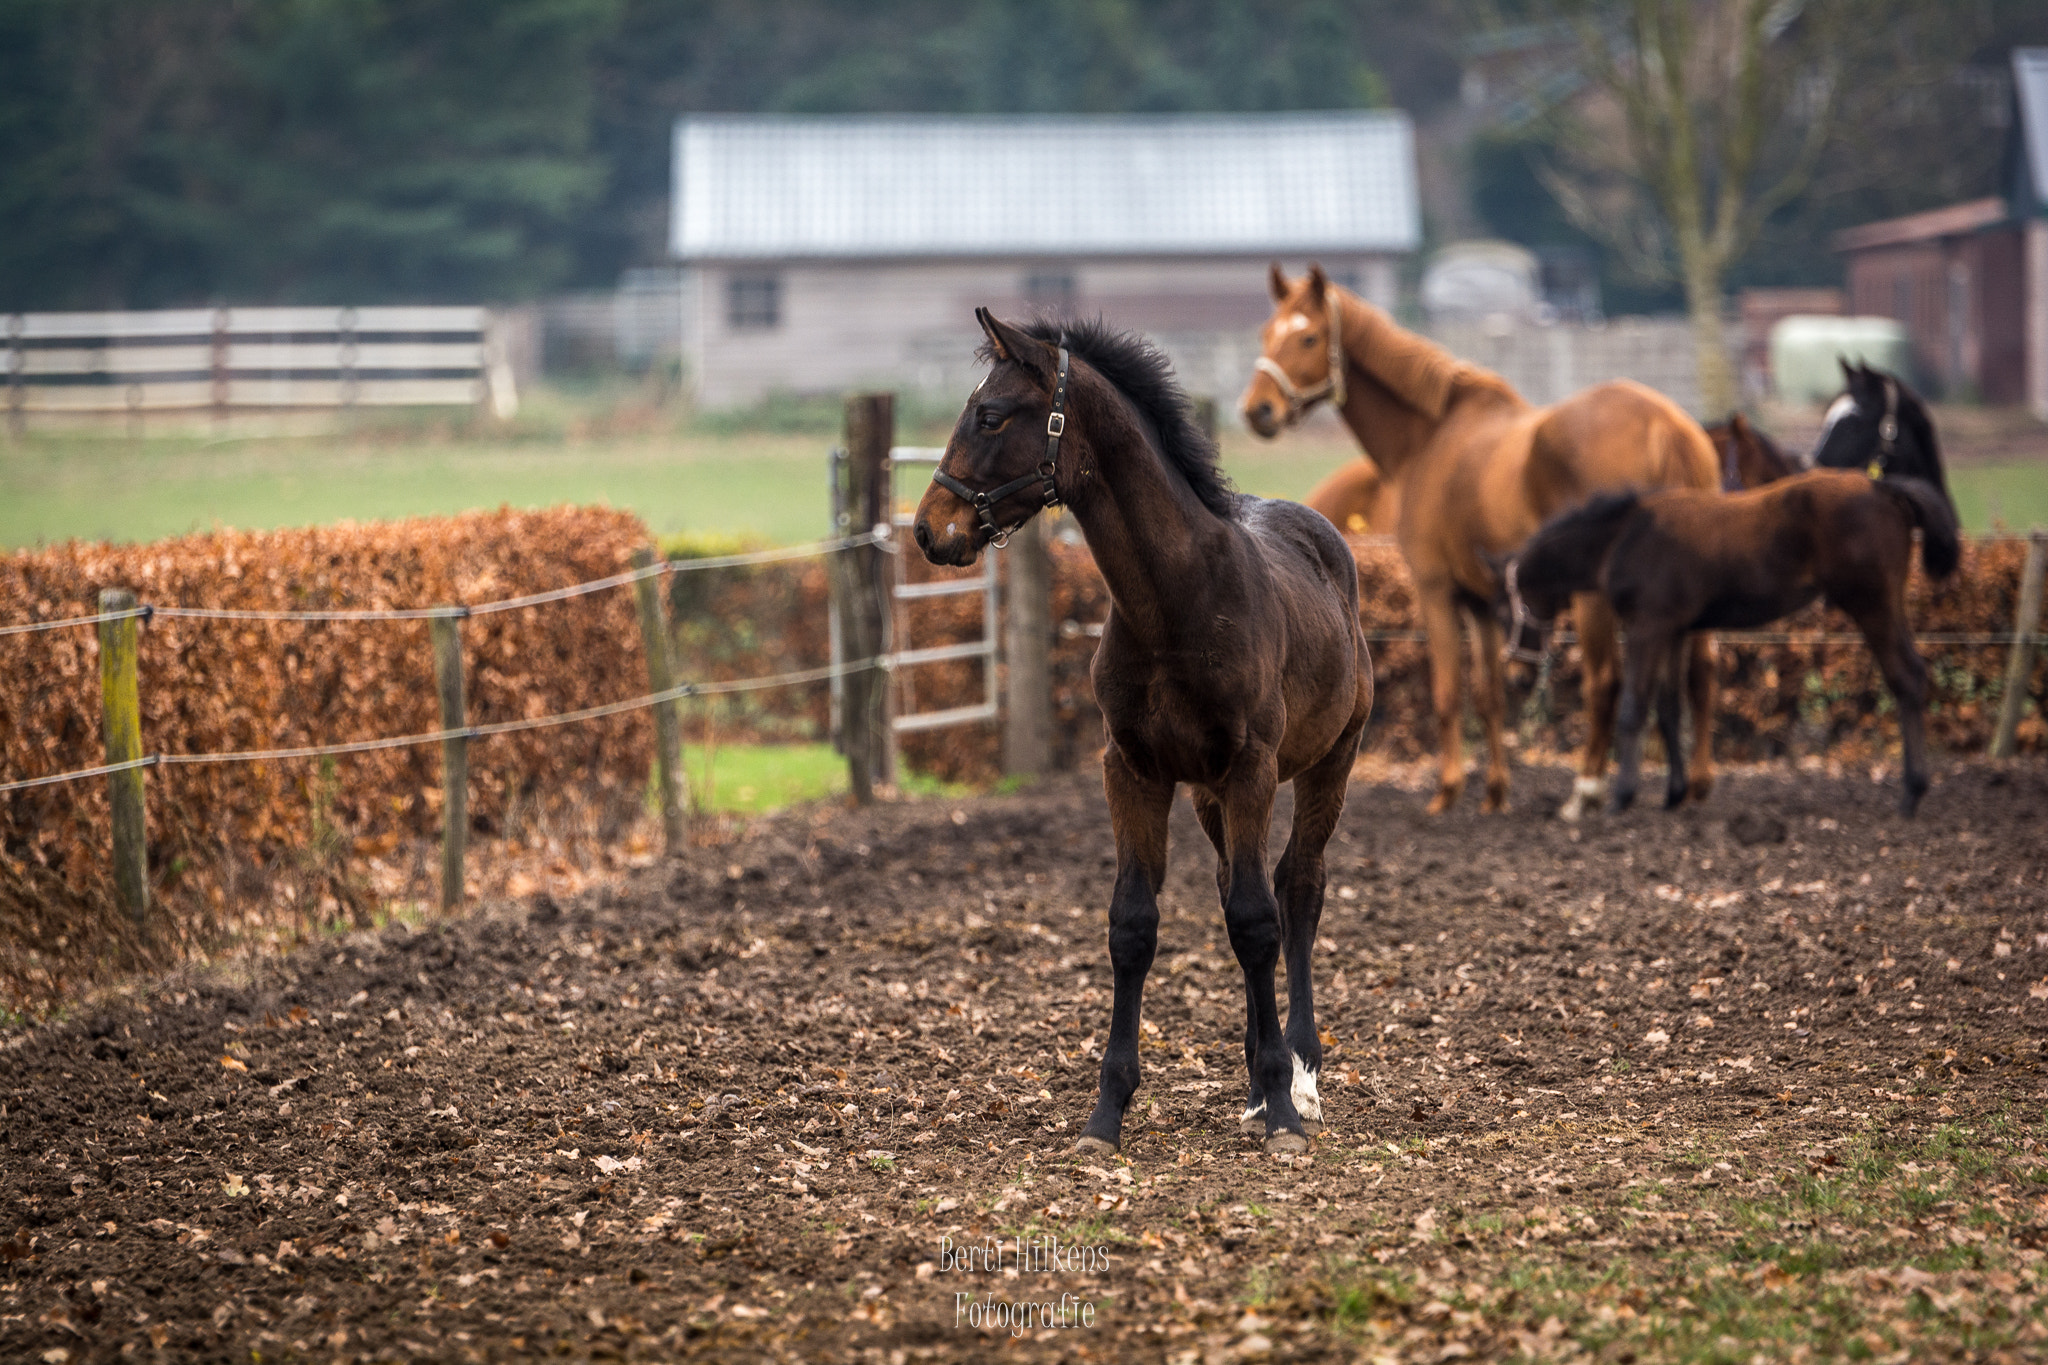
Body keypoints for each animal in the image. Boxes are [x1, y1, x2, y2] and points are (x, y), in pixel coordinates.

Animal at [917, 309, 1376, 1154]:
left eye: (990, 415)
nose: (929, 529)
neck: (1175, 603)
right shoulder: (1133, 769)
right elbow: (1135, 925)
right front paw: (1107, 1112)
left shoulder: (1252, 768)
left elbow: (1258, 922)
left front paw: (1284, 1108)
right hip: (1206, 794)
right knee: (1239, 884)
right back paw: (1256, 1082)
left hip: (1331, 759)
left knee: (1298, 887)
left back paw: (1299, 1074)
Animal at [1236, 266, 1720, 822]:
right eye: (1266, 333)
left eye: (1309, 337)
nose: (1258, 411)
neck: (1431, 435)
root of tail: (1666, 428)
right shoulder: (1485, 601)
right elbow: (1490, 697)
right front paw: (1495, 794)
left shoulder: (1436, 590)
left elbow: (1448, 693)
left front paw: (1447, 792)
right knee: (1700, 671)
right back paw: (1694, 785)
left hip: (1594, 600)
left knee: (1606, 681)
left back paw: (1587, 790)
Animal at [1515, 470, 1957, 818]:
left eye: (1512, 601)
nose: (1519, 676)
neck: (1625, 536)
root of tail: (1883, 487)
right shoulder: (1674, 630)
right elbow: (1669, 709)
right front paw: (1674, 794)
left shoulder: (1646, 627)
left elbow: (1633, 707)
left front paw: (1621, 798)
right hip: (1887, 605)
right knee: (1915, 672)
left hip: (1870, 604)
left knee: (1904, 677)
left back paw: (1910, 794)